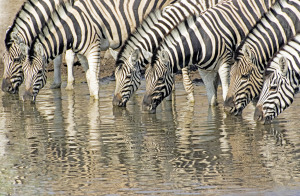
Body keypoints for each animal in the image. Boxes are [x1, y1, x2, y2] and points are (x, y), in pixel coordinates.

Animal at [17, 0, 176, 102]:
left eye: (39, 72)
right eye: (24, 71)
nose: (24, 98)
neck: (73, 27)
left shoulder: (94, 48)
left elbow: (93, 79)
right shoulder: (81, 53)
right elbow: (88, 76)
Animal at [141, 0, 276, 113]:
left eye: (160, 79)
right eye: (145, 77)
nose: (144, 107)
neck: (200, 42)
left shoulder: (224, 64)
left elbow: (225, 93)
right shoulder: (204, 71)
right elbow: (211, 101)